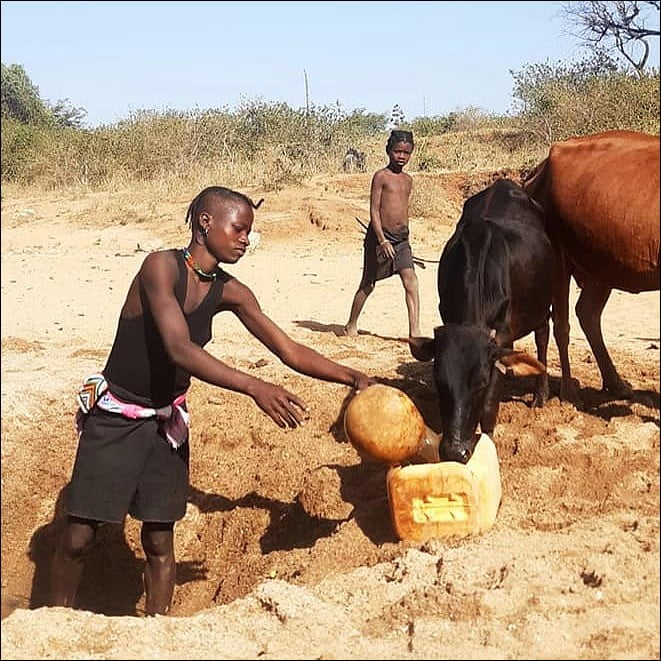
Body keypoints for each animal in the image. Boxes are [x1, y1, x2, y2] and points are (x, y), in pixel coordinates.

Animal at [408, 178, 552, 462]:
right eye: (439, 379)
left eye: (482, 382)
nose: (455, 451)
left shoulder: (503, 335)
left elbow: (489, 404)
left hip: (546, 302)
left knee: (543, 338)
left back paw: (540, 393)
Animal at [524, 127, 656, 398]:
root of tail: (537, 172)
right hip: (558, 258)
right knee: (561, 324)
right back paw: (566, 392)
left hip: (601, 261)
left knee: (587, 313)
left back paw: (616, 384)